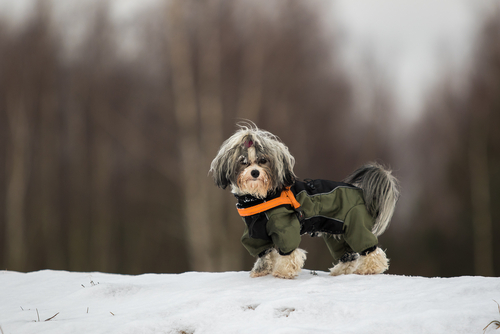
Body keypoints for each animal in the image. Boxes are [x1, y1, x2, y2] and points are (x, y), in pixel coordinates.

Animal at [209, 124, 400, 278]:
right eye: (243, 162)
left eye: (263, 160)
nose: (255, 172)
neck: (259, 198)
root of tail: (363, 192)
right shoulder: (255, 234)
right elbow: (264, 253)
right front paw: (260, 271)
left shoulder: (285, 228)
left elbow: (288, 252)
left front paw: (284, 272)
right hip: (336, 231)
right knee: (349, 256)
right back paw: (339, 272)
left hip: (355, 226)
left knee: (372, 250)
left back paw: (370, 269)